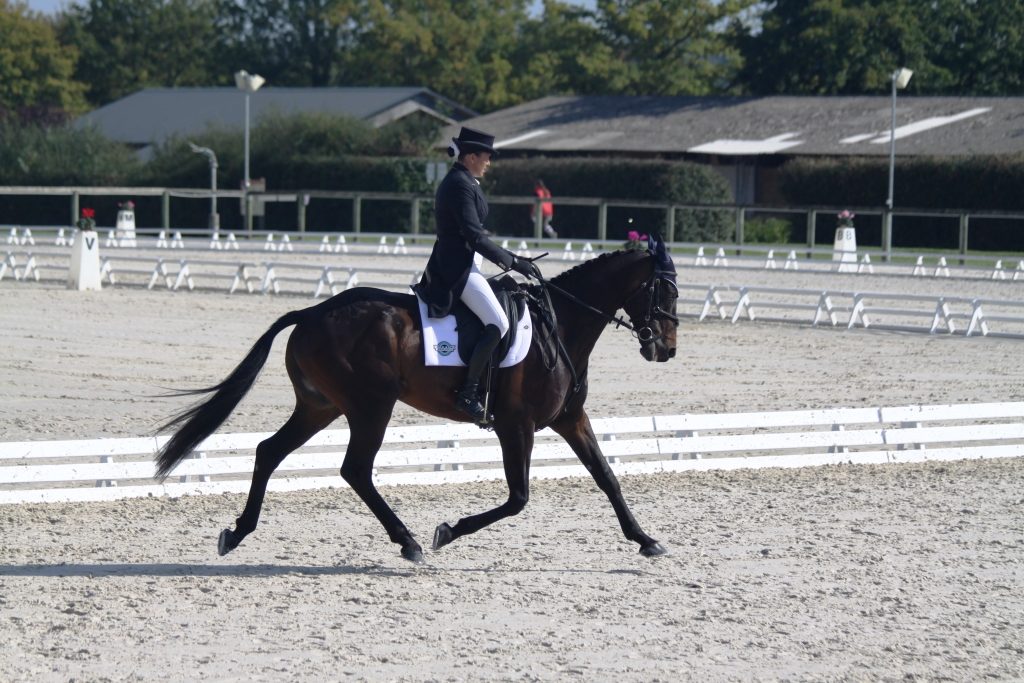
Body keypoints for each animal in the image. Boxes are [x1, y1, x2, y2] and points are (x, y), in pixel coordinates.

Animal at [153, 237, 679, 565]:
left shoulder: (570, 418)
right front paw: (446, 531)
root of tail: (314, 311)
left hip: (320, 406)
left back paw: (237, 532)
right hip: (371, 405)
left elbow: (607, 477)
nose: (665, 349)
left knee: (269, 451)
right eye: (666, 291)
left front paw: (646, 540)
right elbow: (518, 498)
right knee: (355, 469)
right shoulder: (517, 424)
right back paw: (408, 541)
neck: (561, 325)